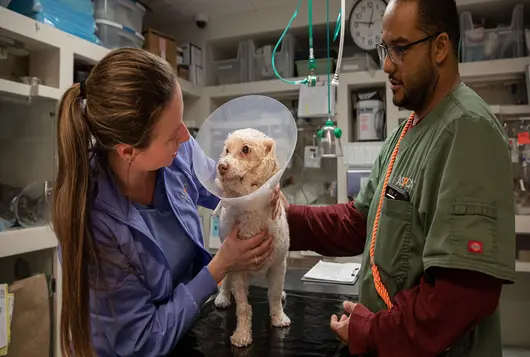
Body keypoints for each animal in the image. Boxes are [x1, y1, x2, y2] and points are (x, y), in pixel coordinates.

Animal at [212, 127, 290, 344]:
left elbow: (273, 297)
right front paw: (242, 335)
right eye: (227, 150)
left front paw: (278, 318)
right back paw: (223, 296)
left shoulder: (278, 265)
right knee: (226, 283)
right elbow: (243, 307)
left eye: (245, 149)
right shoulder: (237, 268)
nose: (221, 166)